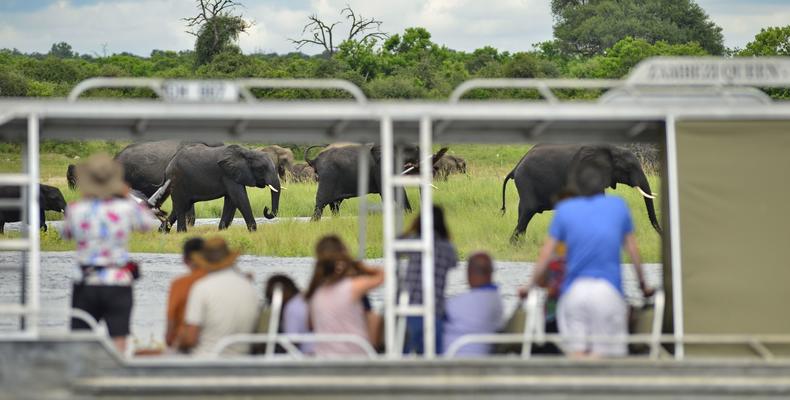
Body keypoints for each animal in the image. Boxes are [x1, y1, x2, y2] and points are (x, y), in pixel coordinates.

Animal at [306, 144, 448, 220]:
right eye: (416, 151)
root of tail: (314, 160)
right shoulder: (382, 167)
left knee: (335, 204)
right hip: (328, 177)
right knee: (321, 203)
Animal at [504, 144, 664, 244]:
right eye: (628, 168)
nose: (662, 235)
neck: (611, 149)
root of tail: (516, 166)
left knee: (523, 213)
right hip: (526, 180)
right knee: (528, 210)